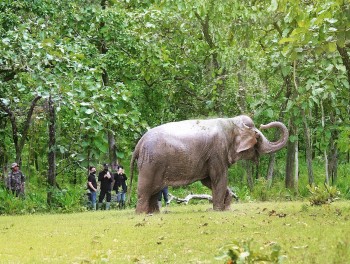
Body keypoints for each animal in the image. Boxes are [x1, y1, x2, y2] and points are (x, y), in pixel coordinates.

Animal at [129, 114, 288, 213]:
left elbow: (208, 181)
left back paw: (153, 213)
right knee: (145, 189)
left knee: (154, 190)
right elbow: (219, 178)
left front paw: (226, 207)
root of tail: (139, 144)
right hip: (151, 163)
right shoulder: (217, 151)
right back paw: (141, 214)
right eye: (258, 136)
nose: (263, 125)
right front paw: (218, 210)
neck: (230, 122)